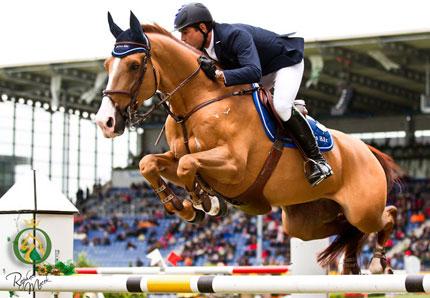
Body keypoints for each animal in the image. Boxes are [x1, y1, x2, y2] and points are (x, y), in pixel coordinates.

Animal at [95, 13, 402, 274]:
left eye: (135, 65)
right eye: (107, 66)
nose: (105, 122)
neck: (197, 101)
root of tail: (367, 150)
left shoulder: (234, 167)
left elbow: (188, 164)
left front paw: (203, 201)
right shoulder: (176, 156)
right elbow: (149, 163)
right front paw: (183, 207)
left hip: (363, 208)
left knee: (386, 215)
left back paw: (377, 261)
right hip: (305, 222)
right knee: (348, 229)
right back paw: (351, 263)